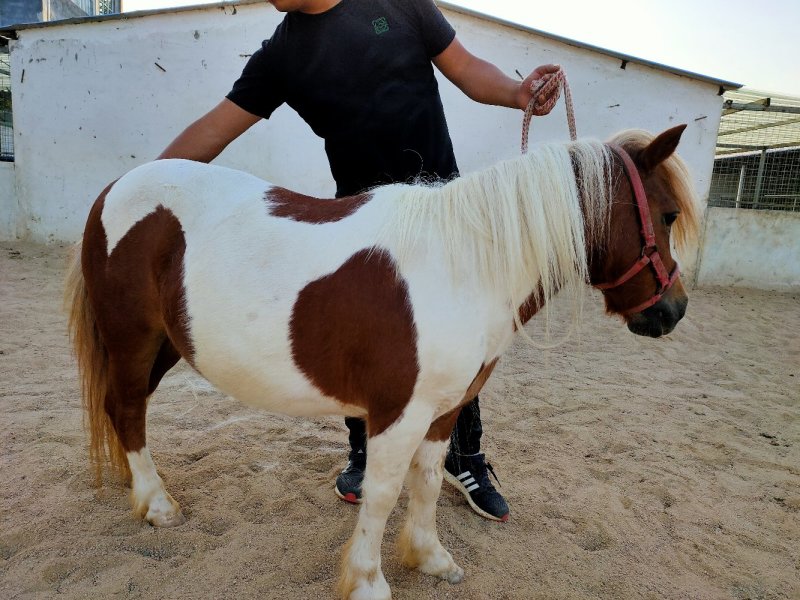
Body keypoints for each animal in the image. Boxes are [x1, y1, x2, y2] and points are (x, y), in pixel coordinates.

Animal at [65, 124, 699, 600]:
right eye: (667, 215)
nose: (672, 311)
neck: (465, 267)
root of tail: (113, 190)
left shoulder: (443, 412)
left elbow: (426, 482)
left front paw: (430, 558)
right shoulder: (398, 412)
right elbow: (383, 491)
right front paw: (369, 583)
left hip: (166, 345)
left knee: (125, 412)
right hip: (133, 339)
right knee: (127, 411)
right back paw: (158, 506)